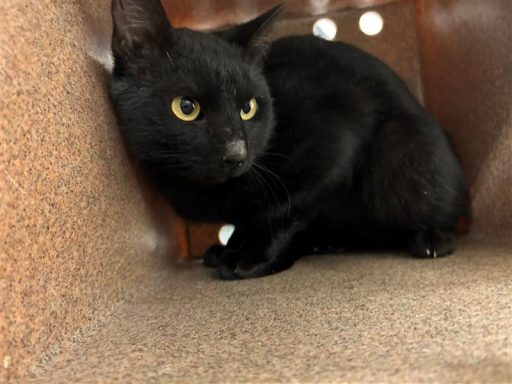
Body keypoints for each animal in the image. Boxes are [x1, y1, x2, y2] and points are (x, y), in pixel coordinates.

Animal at [110, 1, 470, 280]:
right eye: (186, 107)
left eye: (247, 108)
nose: (236, 153)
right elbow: (250, 217)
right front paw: (230, 247)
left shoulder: (335, 146)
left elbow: (284, 210)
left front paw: (251, 258)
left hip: (402, 150)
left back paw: (430, 238)